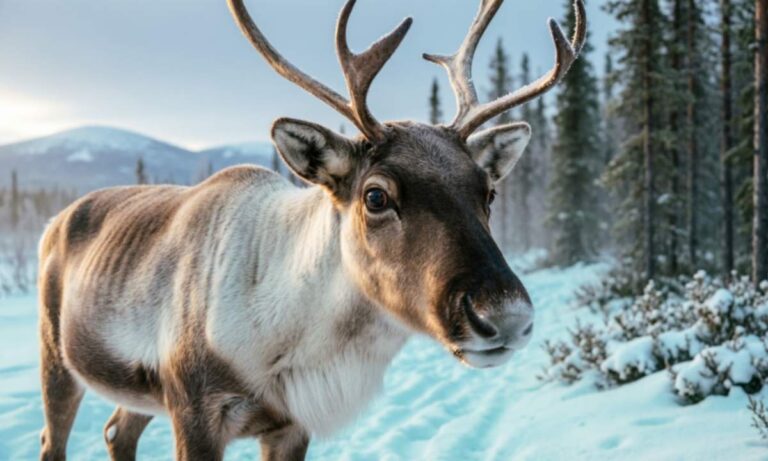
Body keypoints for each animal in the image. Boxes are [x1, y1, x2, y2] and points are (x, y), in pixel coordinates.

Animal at [37, 0, 586, 459]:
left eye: (488, 192)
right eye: (376, 196)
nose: (506, 315)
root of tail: (55, 220)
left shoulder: (290, 426)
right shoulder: (194, 411)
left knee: (115, 431)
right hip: (57, 357)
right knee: (53, 438)